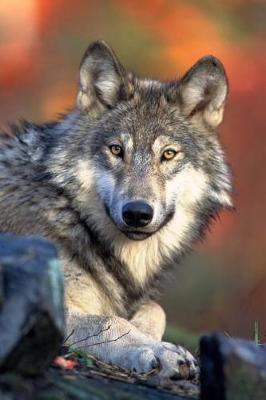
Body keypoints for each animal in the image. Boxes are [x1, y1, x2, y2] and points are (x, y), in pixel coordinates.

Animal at [0, 41, 232, 382]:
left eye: (168, 154)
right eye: (116, 150)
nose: (137, 212)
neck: (71, 215)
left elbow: (155, 309)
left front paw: (150, 337)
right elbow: (110, 321)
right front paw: (158, 350)